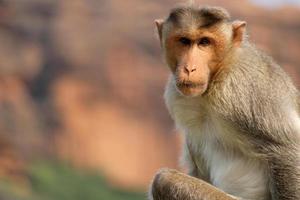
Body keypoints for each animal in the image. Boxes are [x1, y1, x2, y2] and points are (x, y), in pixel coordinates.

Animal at [149, 3, 300, 200]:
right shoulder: (178, 97)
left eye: (204, 42)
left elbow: (286, 149)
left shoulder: (242, 92)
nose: (189, 68)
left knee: (163, 180)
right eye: (184, 41)